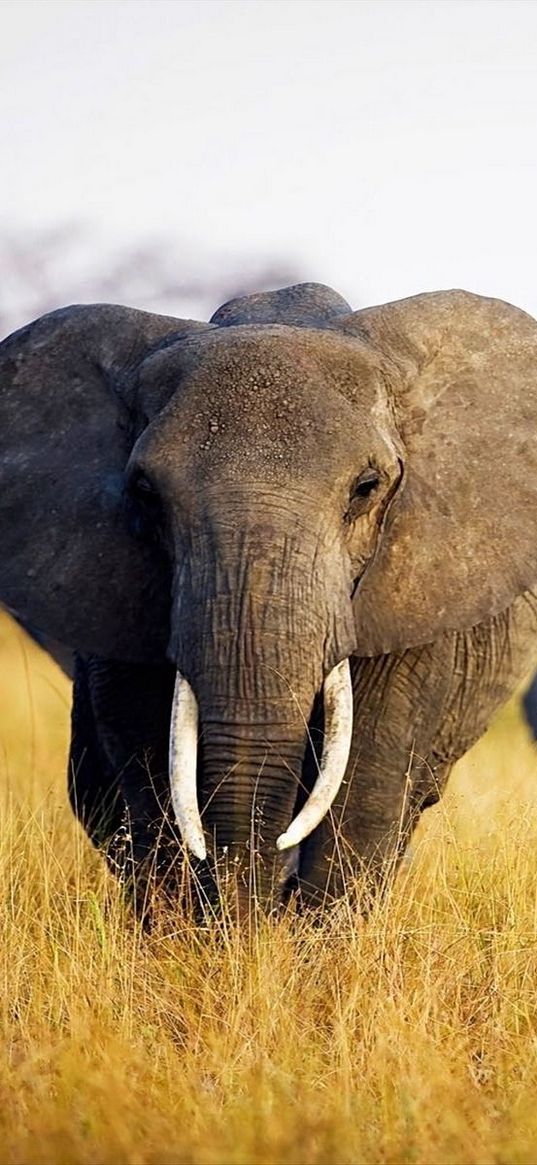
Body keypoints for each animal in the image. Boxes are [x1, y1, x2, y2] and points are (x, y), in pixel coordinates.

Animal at [1, 284, 535, 918]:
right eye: (145, 493)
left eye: (367, 489)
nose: (254, 917)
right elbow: (148, 760)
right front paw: (196, 933)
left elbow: (368, 777)